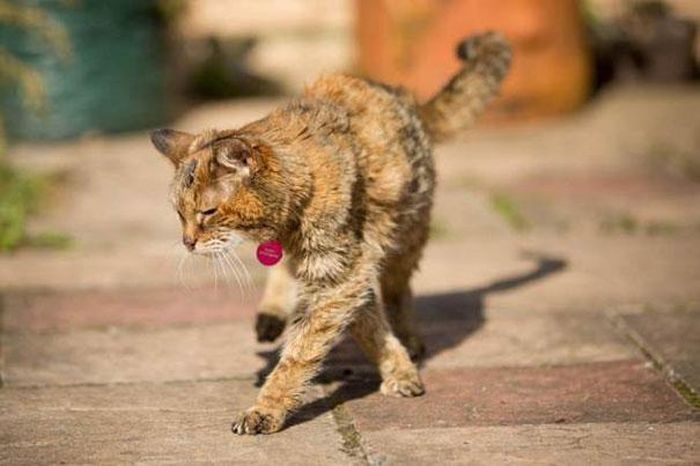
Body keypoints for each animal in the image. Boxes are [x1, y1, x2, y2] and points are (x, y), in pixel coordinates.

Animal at [150, 31, 512, 434]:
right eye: (179, 213)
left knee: (399, 290)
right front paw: (397, 366)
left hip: (407, 236)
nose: (188, 242)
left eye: (208, 212)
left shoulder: (343, 273)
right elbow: (363, 325)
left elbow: (305, 349)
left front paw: (267, 408)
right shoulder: (341, 272)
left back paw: (410, 337)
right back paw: (273, 313)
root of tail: (404, 98)